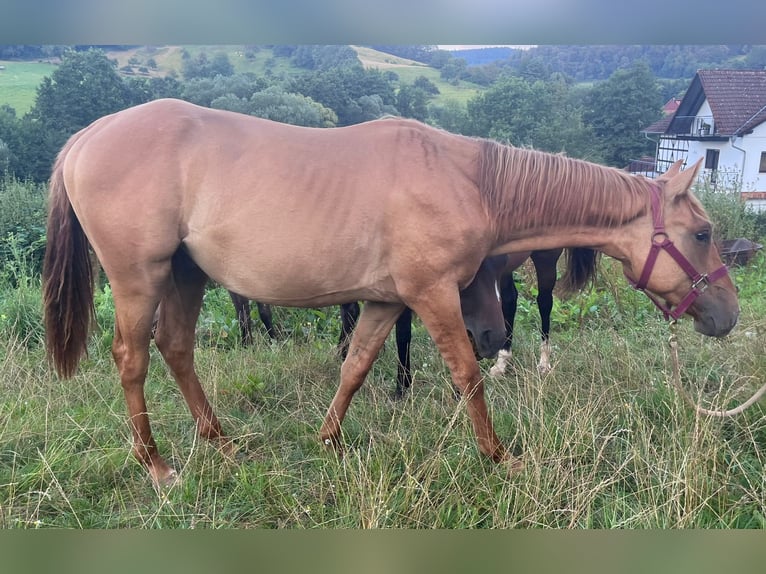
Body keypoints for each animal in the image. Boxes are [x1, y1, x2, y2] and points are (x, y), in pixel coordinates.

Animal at [40, 98, 736, 486]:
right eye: (702, 234)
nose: (728, 315)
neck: (468, 179)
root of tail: (86, 137)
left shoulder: (384, 301)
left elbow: (357, 365)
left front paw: (329, 440)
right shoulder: (431, 296)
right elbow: (466, 374)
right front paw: (498, 456)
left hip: (187, 274)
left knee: (177, 348)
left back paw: (222, 443)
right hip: (140, 278)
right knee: (133, 358)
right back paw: (158, 467)